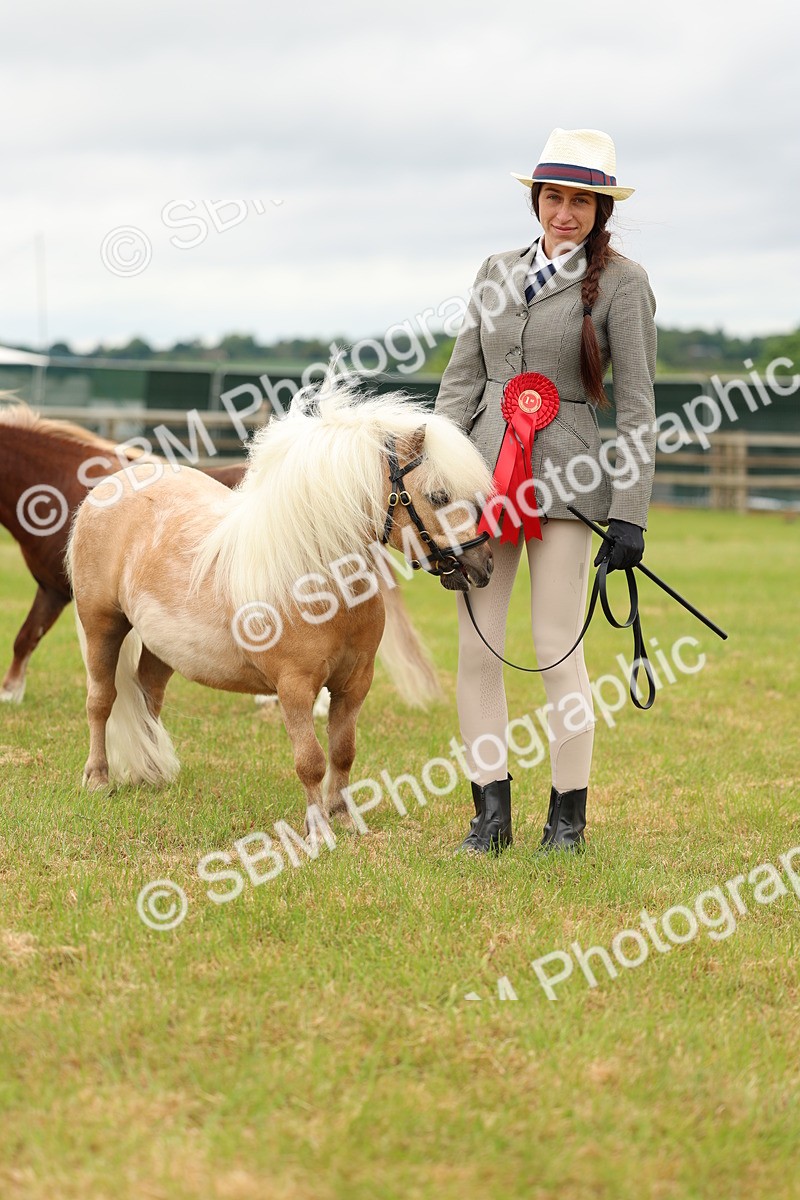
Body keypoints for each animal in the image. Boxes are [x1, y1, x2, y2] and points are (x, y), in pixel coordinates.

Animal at [0, 402, 438, 711]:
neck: (63, 480)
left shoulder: (58, 591)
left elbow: (27, 638)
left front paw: (9, 697)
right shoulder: (59, 591)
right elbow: (27, 639)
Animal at [65, 384, 493, 824]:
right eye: (438, 495)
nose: (484, 565)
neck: (320, 584)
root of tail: (111, 487)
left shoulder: (354, 685)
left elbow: (343, 752)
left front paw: (343, 817)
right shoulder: (294, 688)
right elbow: (311, 760)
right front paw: (318, 827)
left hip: (161, 645)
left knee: (149, 694)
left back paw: (151, 772)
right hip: (102, 625)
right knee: (101, 700)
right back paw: (98, 778)